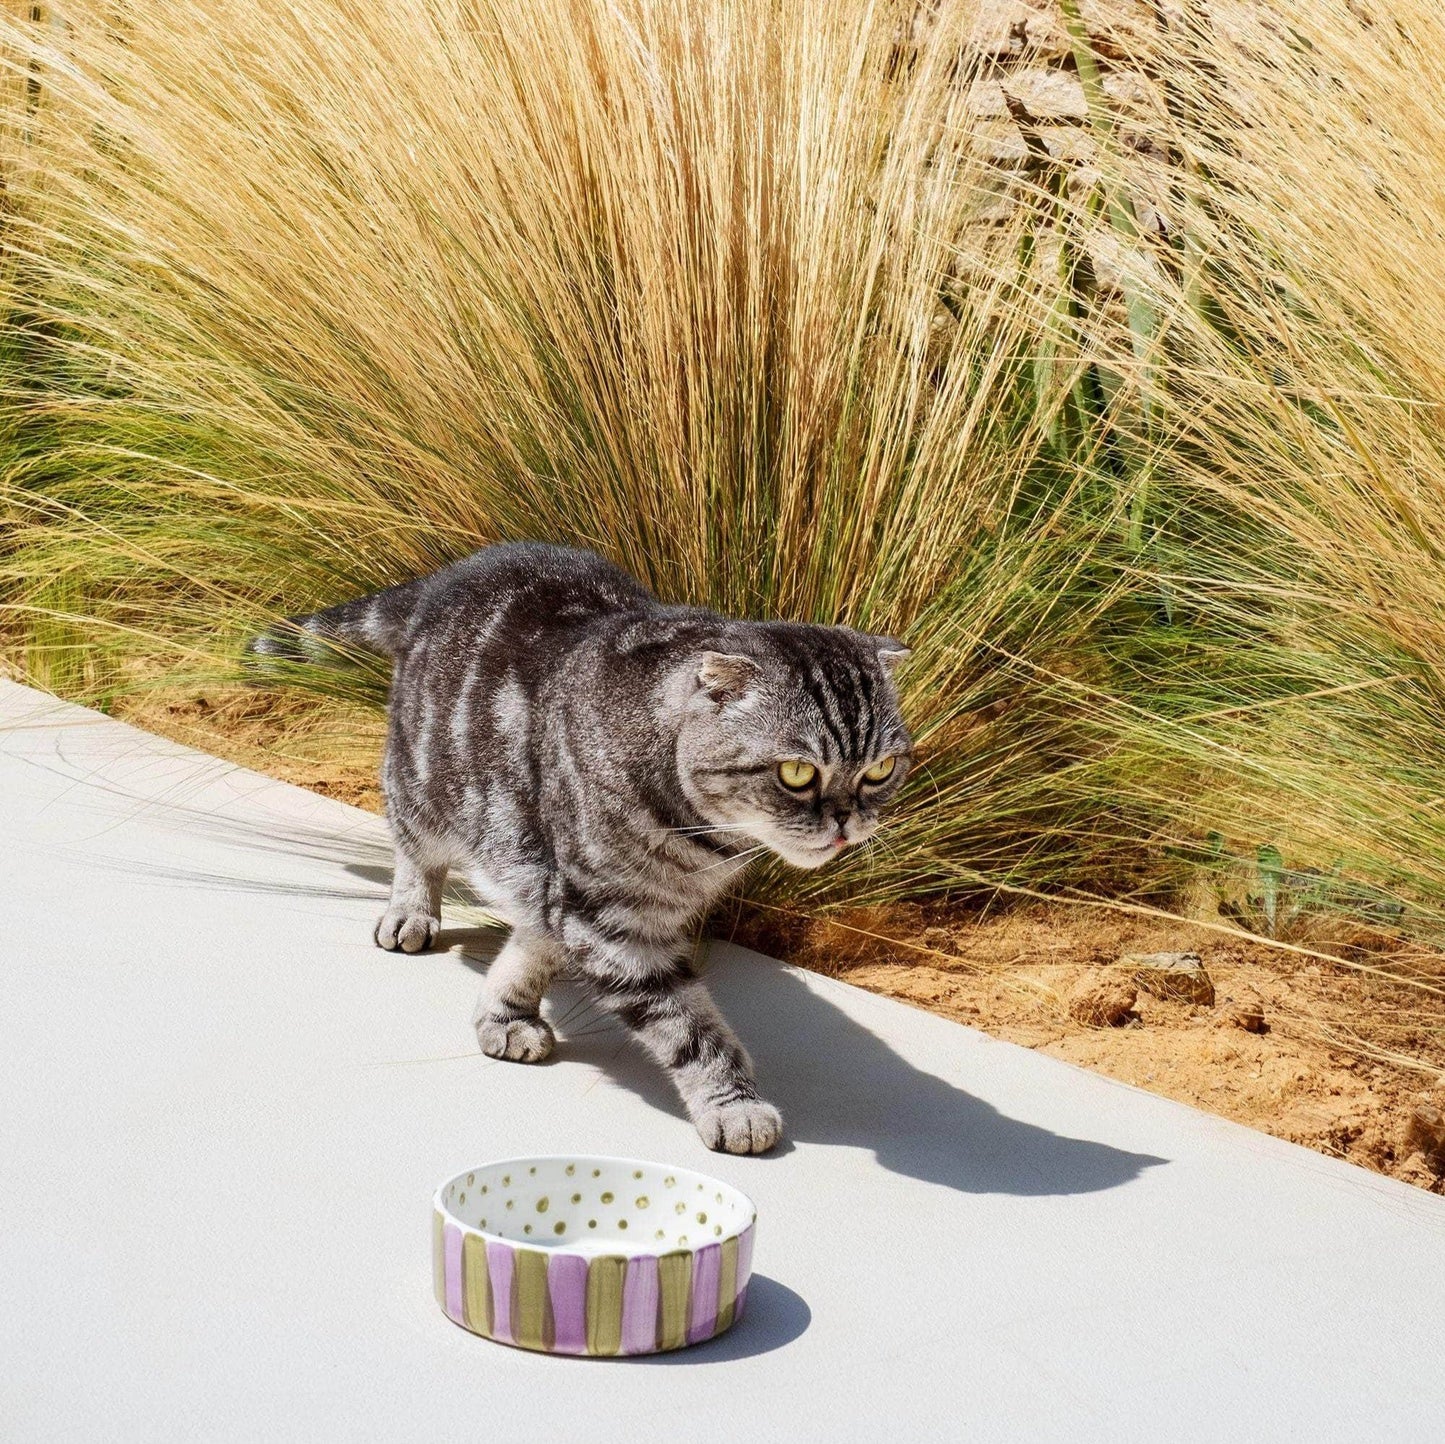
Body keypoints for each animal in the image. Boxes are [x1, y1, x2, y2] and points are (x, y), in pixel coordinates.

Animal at [254, 546, 907, 1156]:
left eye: (880, 769)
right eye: (797, 773)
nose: (847, 820)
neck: (703, 847)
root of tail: (454, 570)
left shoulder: (567, 898)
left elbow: (530, 951)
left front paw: (504, 1014)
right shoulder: (610, 923)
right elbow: (689, 1027)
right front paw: (733, 1104)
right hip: (423, 784)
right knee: (415, 850)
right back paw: (410, 911)